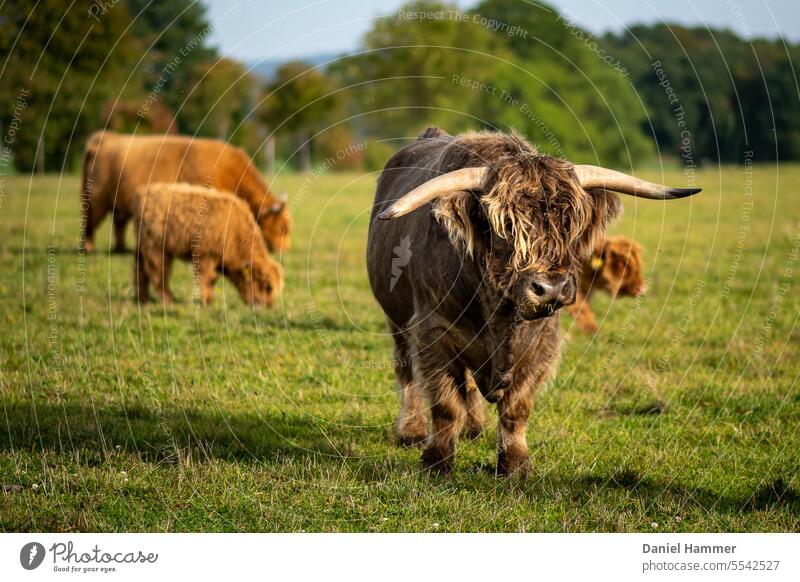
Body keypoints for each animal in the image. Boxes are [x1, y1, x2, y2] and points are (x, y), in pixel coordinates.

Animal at [78, 132, 290, 256]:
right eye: (282, 228)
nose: (284, 250)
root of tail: (106, 137)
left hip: (118, 203)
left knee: (119, 223)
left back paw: (121, 249)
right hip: (97, 199)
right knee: (91, 221)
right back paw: (88, 248)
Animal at [131, 185, 282, 308]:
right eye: (266, 286)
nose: (268, 306)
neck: (236, 231)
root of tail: (143, 193)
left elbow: (212, 280)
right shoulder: (207, 256)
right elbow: (207, 278)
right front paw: (205, 301)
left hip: (143, 247)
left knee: (140, 269)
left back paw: (143, 299)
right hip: (155, 248)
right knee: (158, 273)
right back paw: (168, 299)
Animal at [368, 126, 700, 474]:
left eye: (570, 225)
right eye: (505, 225)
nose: (551, 288)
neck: (499, 317)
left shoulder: (543, 341)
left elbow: (517, 406)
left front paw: (516, 464)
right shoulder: (434, 332)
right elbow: (445, 404)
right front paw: (437, 461)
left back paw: (475, 428)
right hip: (396, 319)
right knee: (406, 370)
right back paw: (412, 430)